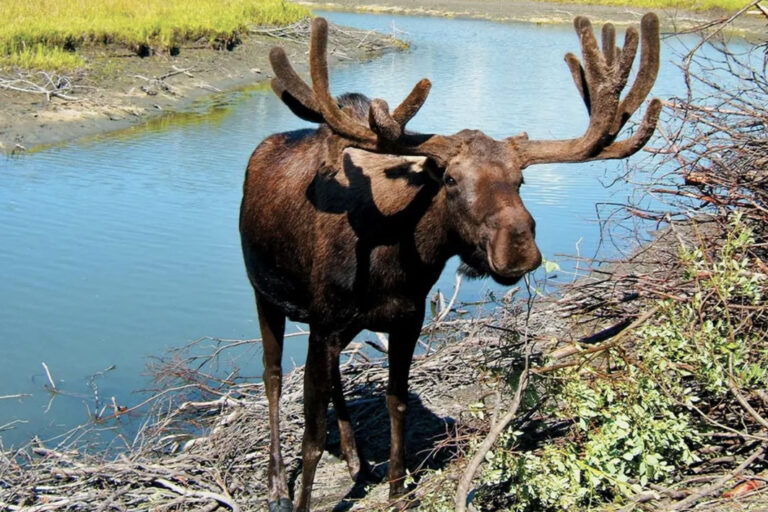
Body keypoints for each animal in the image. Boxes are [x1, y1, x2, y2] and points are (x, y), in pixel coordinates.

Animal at [240, 12, 660, 512]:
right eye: (452, 180)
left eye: (520, 180)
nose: (518, 249)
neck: (393, 260)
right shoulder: (324, 322)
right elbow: (311, 434)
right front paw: (300, 495)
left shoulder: (406, 319)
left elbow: (397, 402)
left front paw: (397, 488)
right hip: (265, 295)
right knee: (272, 377)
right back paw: (276, 484)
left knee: (335, 377)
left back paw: (356, 459)